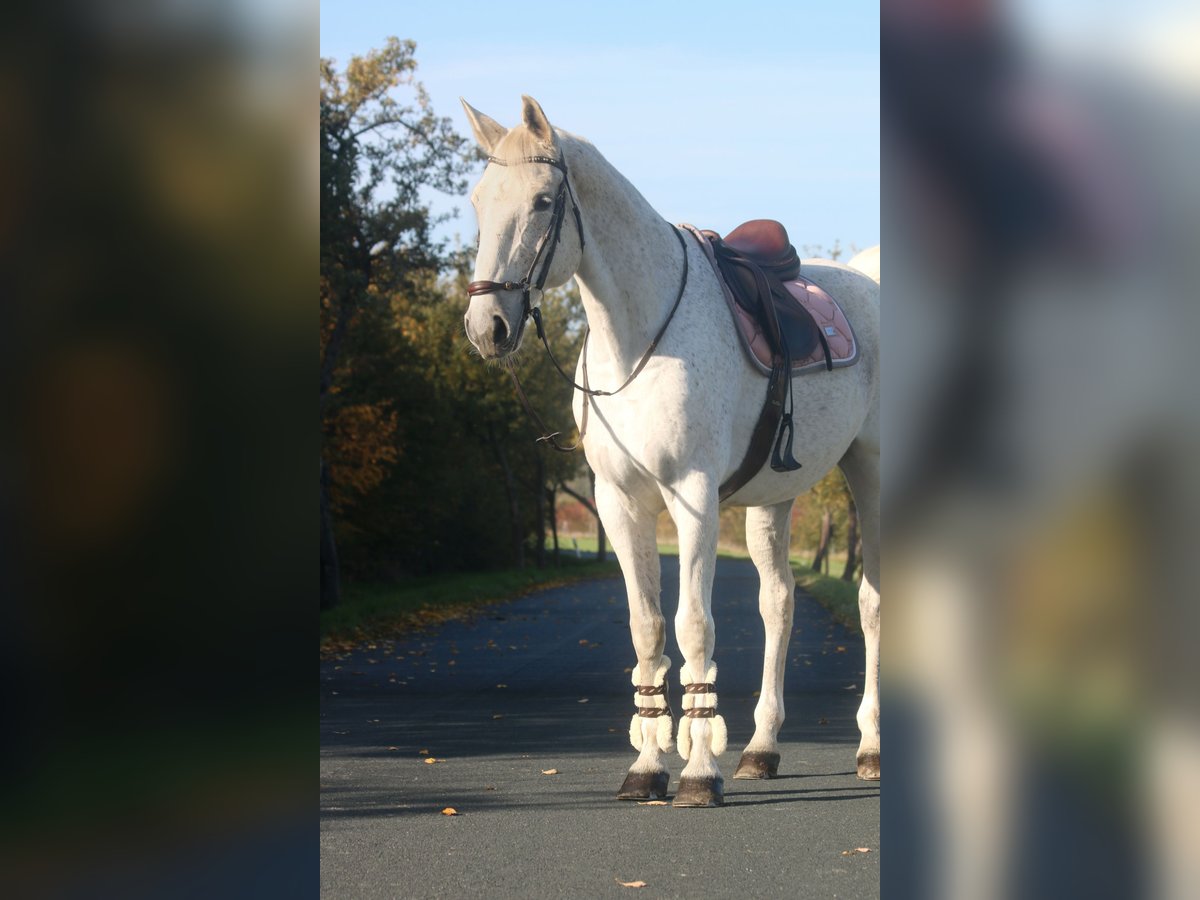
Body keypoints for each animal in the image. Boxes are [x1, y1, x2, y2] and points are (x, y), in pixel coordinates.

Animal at [460, 95, 883, 806]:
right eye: (477, 200)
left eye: (544, 201)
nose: (486, 327)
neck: (636, 337)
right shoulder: (619, 502)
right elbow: (648, 627)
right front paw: (649, 764)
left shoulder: (692, 497)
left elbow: (693, 625)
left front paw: (700, 771)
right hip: (773, 499)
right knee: (779, 603)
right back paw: (762, 749)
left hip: (874, 474)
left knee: (873, 603)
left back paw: (871, 747)